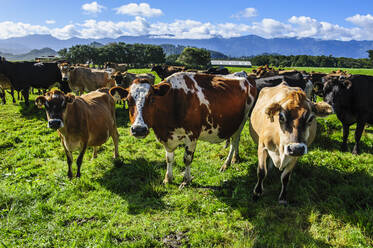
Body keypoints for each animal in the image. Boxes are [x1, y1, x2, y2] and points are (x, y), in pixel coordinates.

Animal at [109, 71, 258, 188]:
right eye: (128, 100)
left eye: (152, 99)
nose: (138, 129)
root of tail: (246, 77)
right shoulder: (167, 137)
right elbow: (169, 159)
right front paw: (168, 178)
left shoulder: (192, 136)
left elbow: (187, 159)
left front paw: (186, 180)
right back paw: (235, 159)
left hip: (242, 120)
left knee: (234, 141)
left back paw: (227, 163)